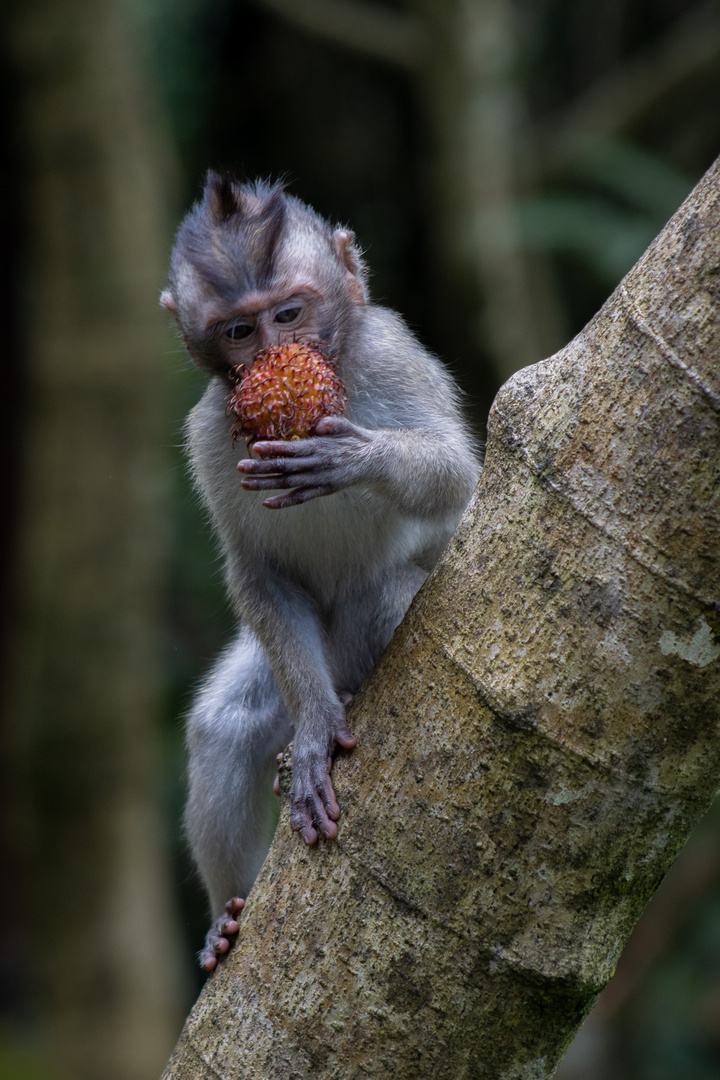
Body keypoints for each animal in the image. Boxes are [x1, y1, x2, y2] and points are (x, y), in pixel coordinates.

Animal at [160, 172, 481, 967]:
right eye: (241, 332)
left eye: (289, 313)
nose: (278, 354)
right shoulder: (208, 432)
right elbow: (259, 572)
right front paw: (311, 734)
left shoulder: (391, 352)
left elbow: (456, 478)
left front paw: (356, 457)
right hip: (304, 661)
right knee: (227, 724)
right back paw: (225, 921)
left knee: (384, 595)